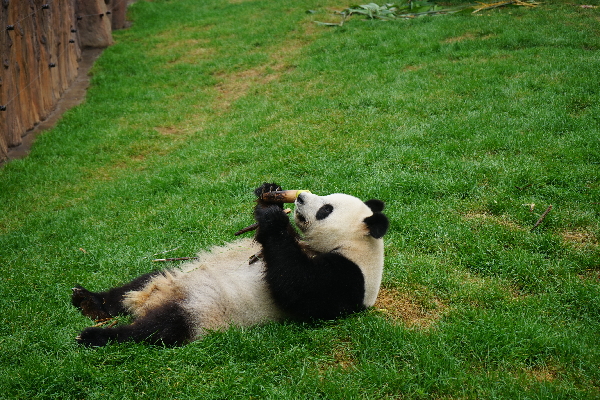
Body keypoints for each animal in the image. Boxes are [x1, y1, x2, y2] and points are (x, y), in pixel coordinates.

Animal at [71, 183, 390, 346]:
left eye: (326, 209)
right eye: (325, 197)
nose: (300, 197)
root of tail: (149, 301)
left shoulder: (347, 279)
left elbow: (299, 288)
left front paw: (273, 216)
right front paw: (269, 193)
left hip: (199, 311)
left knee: (156, 330)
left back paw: (95, 335)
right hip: (170, 276)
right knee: (136, 284)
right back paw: (89, 301)